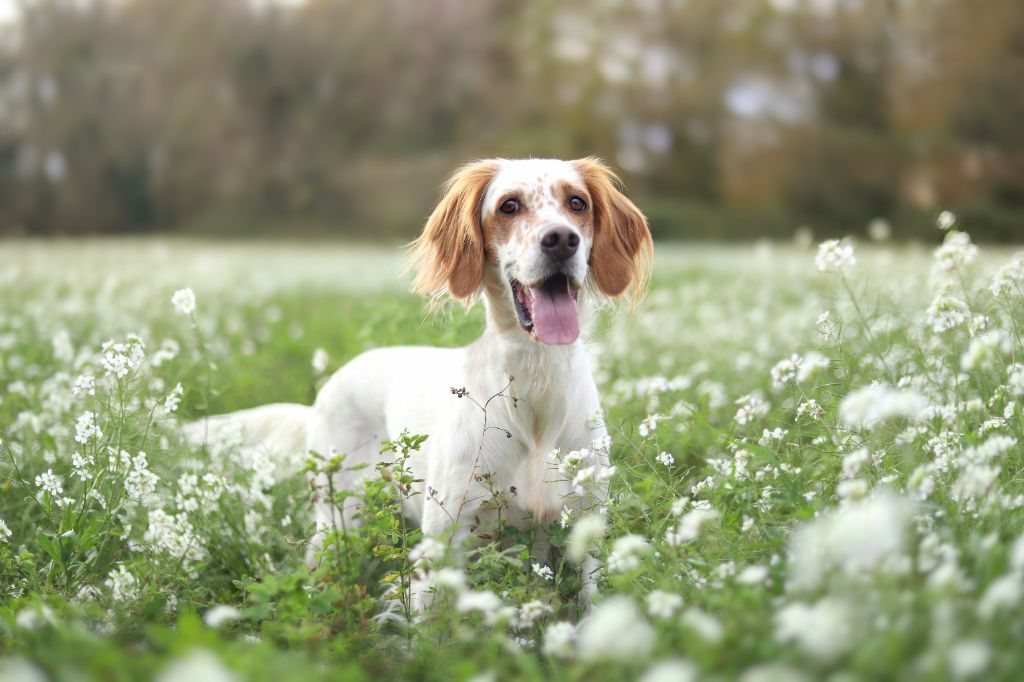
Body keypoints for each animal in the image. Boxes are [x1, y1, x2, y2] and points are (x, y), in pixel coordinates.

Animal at [188, 156, 651, 602]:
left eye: (577, 203)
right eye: (509, 206)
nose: (561, 240)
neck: (536, 387)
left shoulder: (586, 528)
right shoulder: (447, 540)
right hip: (337, 520)